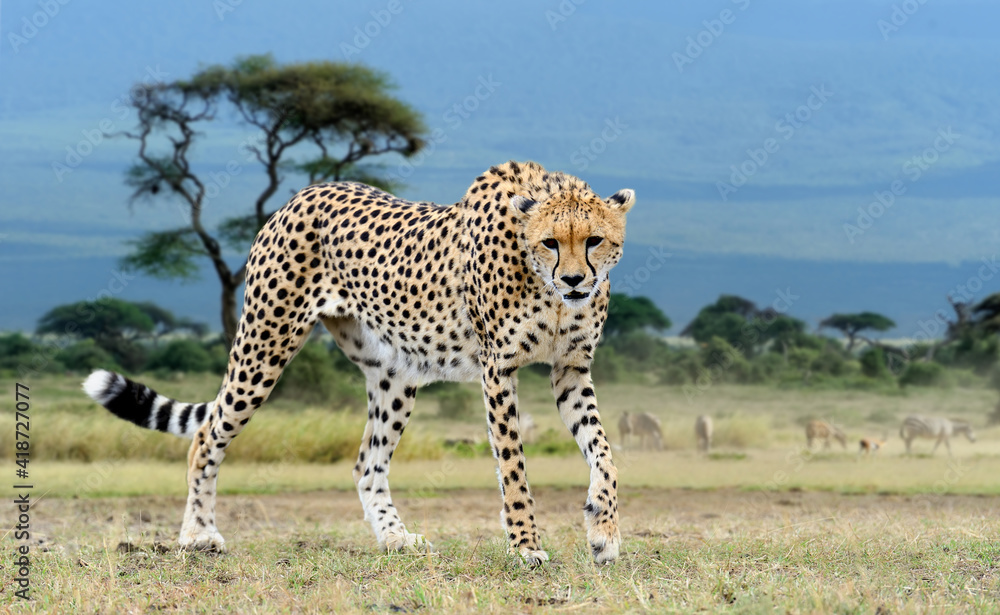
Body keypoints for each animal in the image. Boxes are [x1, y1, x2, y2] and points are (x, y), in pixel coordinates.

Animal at [83, 160, 635, 565]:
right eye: (550, 242)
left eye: (594, 240)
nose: (574, 281)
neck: (549, 290)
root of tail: (305, 192)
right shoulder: (498, 370)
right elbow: (514, 466)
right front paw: (525, 545)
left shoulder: (571, 369)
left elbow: (605, 452)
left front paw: (603, 530)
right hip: (265, 344)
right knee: (206, 435)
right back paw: (198, 534)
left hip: (394, 374)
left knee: (367, 462)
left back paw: (395, 538)